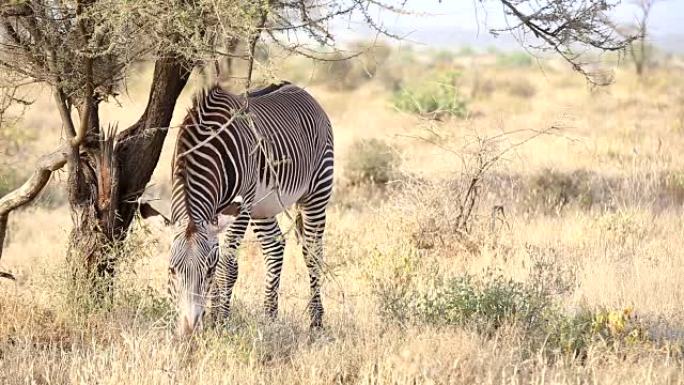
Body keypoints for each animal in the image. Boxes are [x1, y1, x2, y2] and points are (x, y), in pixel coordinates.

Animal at [146, 81, 334, 332]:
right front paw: (213, 317)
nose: (189, 329)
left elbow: (227, 267)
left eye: (207, 271)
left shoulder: (240, 207)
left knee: (313, 253)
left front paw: (221, 322)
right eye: (172, 270)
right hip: (263, 205)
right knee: (274, 246)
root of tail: (298, 88)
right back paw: (269, 317)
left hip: (316, 190)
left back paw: (316, 321)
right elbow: (221, 258)